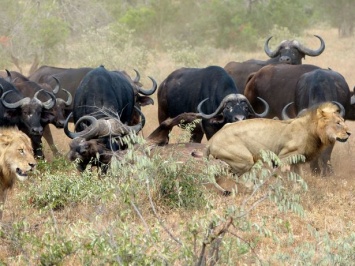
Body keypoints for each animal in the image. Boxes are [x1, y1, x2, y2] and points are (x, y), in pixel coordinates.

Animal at [207, 103, 352, 176]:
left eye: (343, 121)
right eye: (338, 123)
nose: (350, 133)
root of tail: (211, 140)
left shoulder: (297, 162)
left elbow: (299, 179)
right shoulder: (284, 157)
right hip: (244, 160)